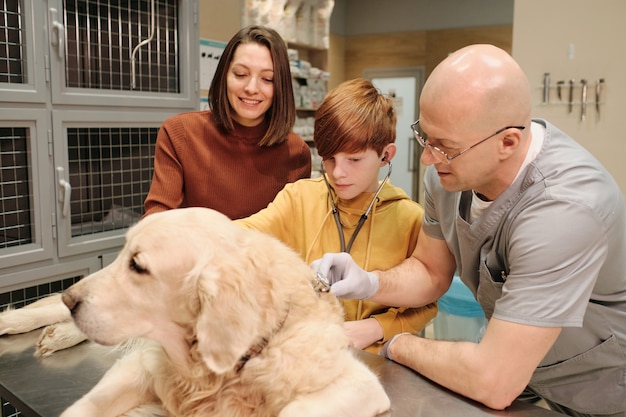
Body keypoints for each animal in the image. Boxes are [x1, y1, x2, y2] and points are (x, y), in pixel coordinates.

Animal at [53, 208, 388, 416]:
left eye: (137, 265)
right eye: (122, 252)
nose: (70, 300)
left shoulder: (361, 384)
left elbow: (294, 409)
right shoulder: (140, 365)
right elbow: (85, 406)